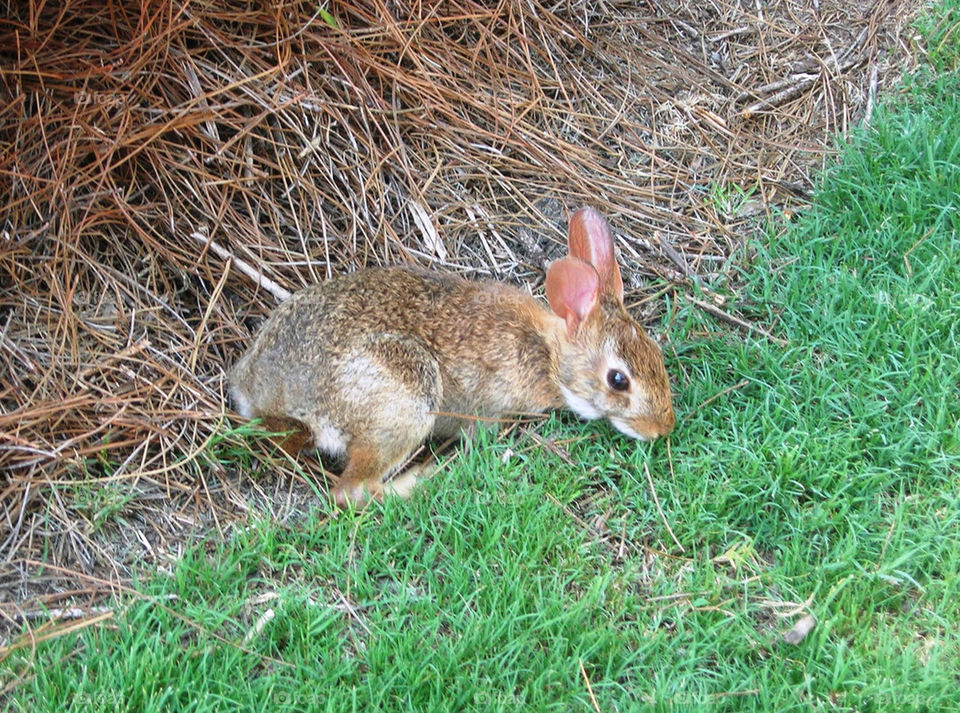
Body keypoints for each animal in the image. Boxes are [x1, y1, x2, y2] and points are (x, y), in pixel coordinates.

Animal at [228, 208, 675, 506]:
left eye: (656, 354)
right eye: (618, 380)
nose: (662, 428)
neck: (547, 355)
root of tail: (263, 397)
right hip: (406, 395)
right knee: (352, 491)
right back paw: (426, 476)